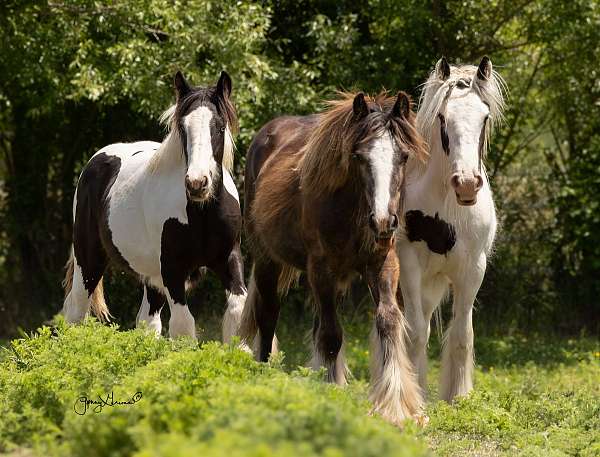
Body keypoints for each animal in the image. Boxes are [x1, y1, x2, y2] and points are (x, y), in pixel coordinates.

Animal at [61, 68, 246, 338]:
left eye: (219, 126)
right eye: (182, 127)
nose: (197, 183)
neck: (201, 215)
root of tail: (95, 162)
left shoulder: (229, 259)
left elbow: (237, 312)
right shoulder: (172, 270)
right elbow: (183, 326)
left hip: (151, 277)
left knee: (146, 323)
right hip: (89, 261)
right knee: (75, 312)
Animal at [238, 91, 426, 422]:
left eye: (402, 156)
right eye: (359, 157)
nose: (382, 222)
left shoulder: (382, 263)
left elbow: (388, 320)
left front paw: (396, 406)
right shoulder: (321, 269)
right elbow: (331, 335)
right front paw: (332, 393)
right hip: (267, 260)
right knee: (268, 314)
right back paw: (264, 372)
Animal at [398, 56, 506, 400]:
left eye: (484, 117)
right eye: (443, 118)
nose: (467, 184)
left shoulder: (473, 269)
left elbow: (461, 335)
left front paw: (457, 396)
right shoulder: (409, 265)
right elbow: (416, 333)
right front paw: (415, 392)